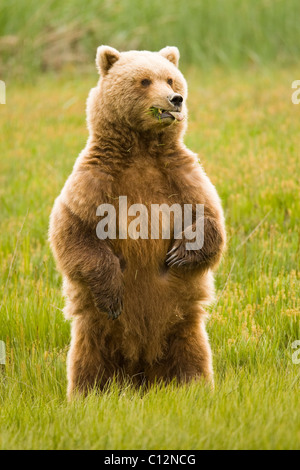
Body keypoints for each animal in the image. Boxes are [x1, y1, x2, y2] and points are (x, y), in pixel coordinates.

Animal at [49, 46, 226, 396]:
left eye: (170, 79)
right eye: (144, 80)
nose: (175, 99)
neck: (142, 149)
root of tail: (141, 372)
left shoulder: (181, 174)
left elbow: (210, 218)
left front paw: (180, 253)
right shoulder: (94, 179)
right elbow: (74, 230)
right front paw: (113, 295)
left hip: (183, 327)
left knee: (193, 356)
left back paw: (193, 387)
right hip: (94, 332)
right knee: (87, 363)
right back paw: (89, 394)